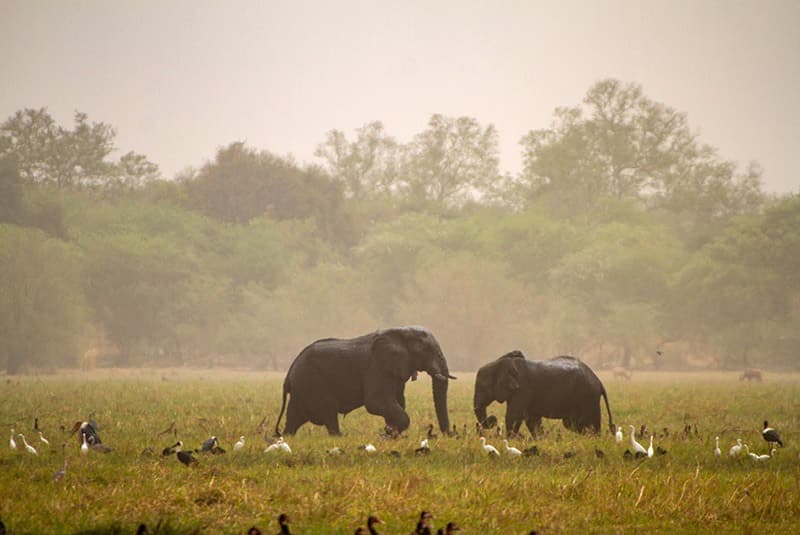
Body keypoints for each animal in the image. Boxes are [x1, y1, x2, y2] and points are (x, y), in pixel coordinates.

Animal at [274, 326, 455, 436]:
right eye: (427, 350)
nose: (451, 434)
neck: (401, 332)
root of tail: (288, 375)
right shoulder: (377, 368)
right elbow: (376, 402)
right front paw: (390, 433)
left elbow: (398, 401)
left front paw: (390, 432)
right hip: (312, 385)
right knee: (329, 412)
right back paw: (340, 437)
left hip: (301, 390)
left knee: (294, 418)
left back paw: (286, 437)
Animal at [474, 350, 614, 437]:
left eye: (482, 388)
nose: (493, 419)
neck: (501, 361)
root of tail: (599, 382)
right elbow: (532, 420)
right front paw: (539, 439)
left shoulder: (522, 390)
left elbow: (513, 417)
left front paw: (514, 439)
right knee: (572, 423)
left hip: (588, 396)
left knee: (589, 422)